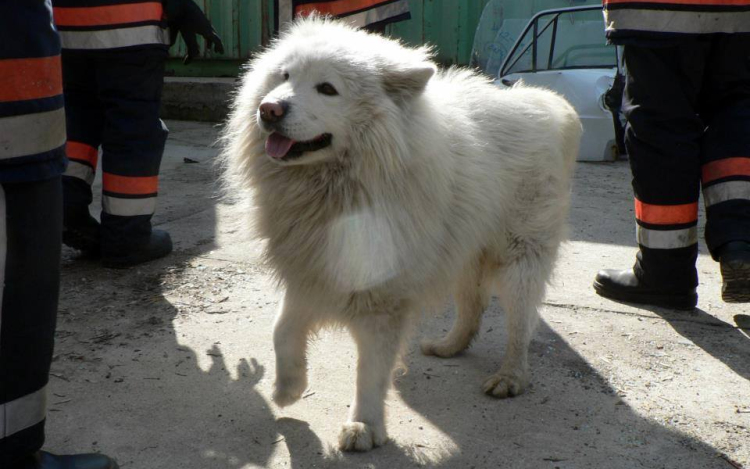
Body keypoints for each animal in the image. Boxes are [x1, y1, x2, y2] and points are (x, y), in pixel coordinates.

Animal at [220, 16, 584, 452]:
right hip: (464, 248)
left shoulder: (381, 299)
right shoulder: (312, 271)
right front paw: (287, 388)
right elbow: (282, 329)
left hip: (518, 257)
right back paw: (449, 346)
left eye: (327, 89)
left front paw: (364, 426)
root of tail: (549, 103)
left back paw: (510, 377)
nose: (269, 109)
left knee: (521, 322)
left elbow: (370, 370)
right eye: (284, 76)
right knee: (474, 304)